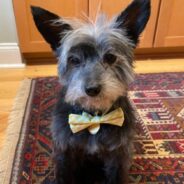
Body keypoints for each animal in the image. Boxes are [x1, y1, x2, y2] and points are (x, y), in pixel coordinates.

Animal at [30, 0, 150, 183]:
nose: (92, 89)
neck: (94, 117)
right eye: (74, 60)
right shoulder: (64, 153)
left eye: (110, 57)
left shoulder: (118, 155)